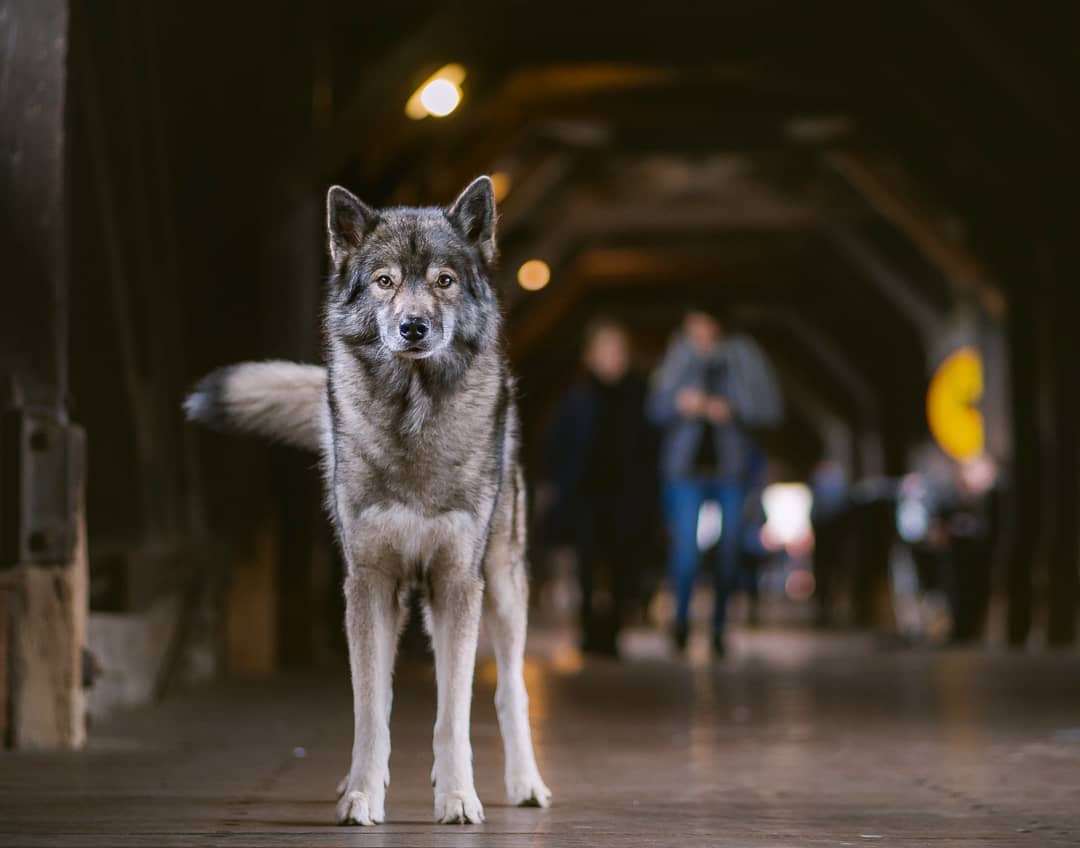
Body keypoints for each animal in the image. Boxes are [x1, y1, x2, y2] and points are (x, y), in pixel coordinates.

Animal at [184, 177, 548, 820]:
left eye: (443, 281)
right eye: (384, 281)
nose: (413, 328)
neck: (414, 419)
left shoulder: (458, 583)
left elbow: (453, 715)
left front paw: (458, 798)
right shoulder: (370, 584)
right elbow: (370, 709)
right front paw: (360, 793)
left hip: (502, 587)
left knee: (509, 691)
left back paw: (525, 784)